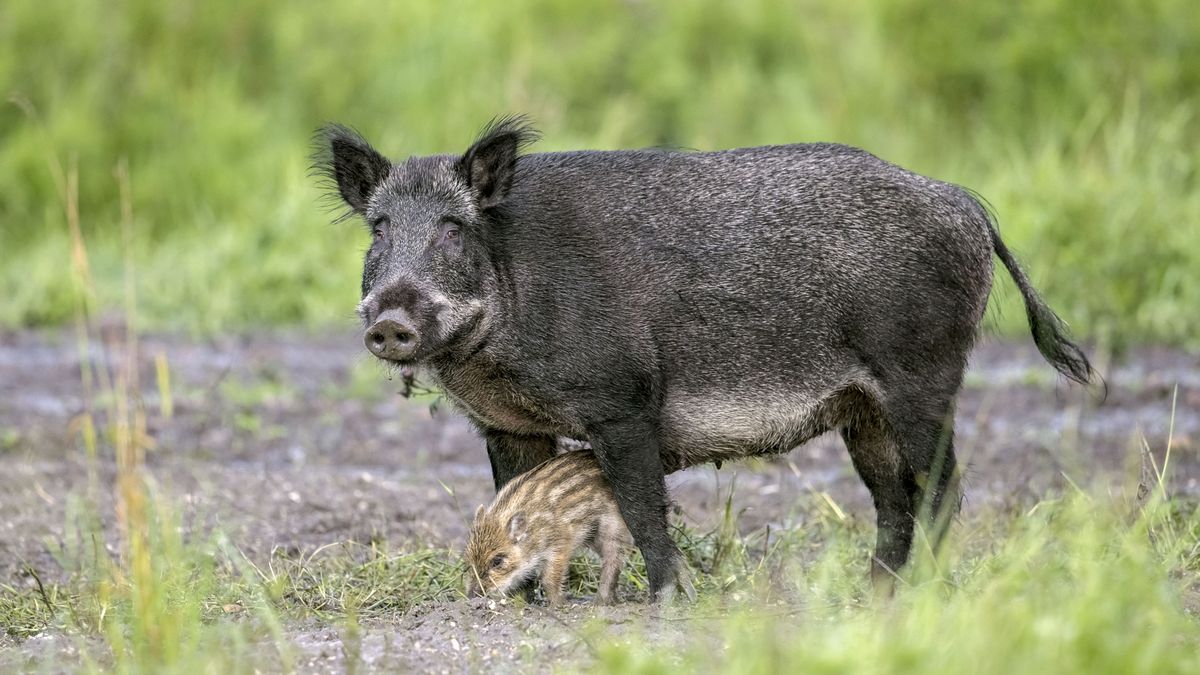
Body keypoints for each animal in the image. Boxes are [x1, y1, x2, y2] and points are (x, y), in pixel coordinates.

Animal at [314, 116, 1094, 602]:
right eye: (378, 229)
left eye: (453, 227)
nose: (389, 321)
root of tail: (966, 203)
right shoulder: (506, 425)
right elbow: (515, 498)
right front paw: (529, 601)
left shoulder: (623, 402)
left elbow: (641, 505)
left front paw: (666, 598)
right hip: (863, 410)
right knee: (894, 501)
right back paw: (869, 595)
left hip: (922, 376)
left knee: (942, 489)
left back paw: (913, 593)